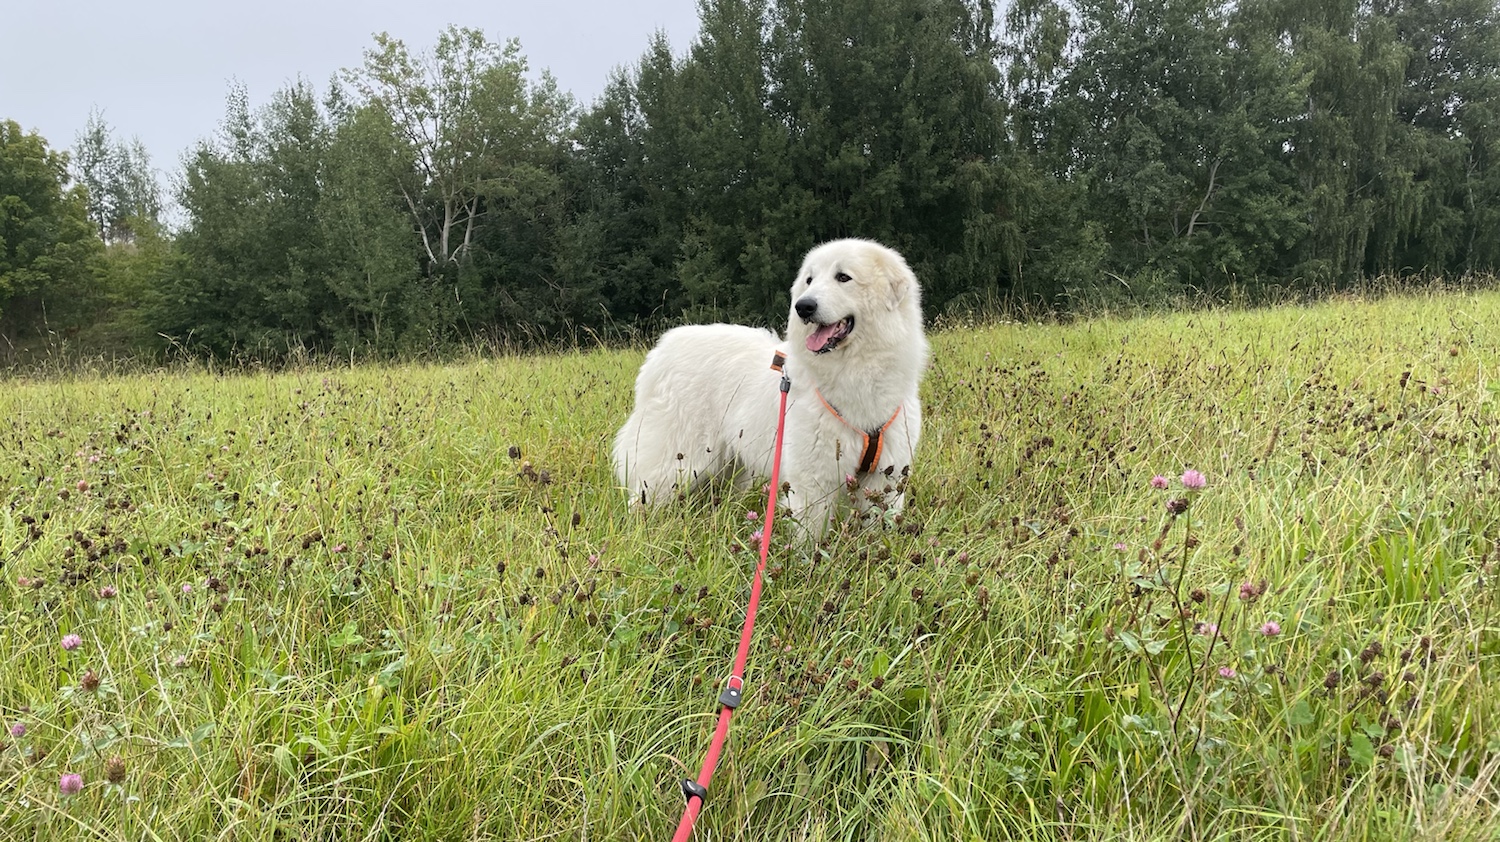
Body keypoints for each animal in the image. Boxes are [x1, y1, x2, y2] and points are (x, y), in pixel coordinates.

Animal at [612, 238, 928, 540]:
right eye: (810, 280)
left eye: (843, 277)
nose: (803, 307)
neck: (854, 369)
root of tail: (662, 351)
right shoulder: (812, 479)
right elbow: (809, 537)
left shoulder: (885, 477)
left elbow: (878, 527)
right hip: (678, 463)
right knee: (642, 498)